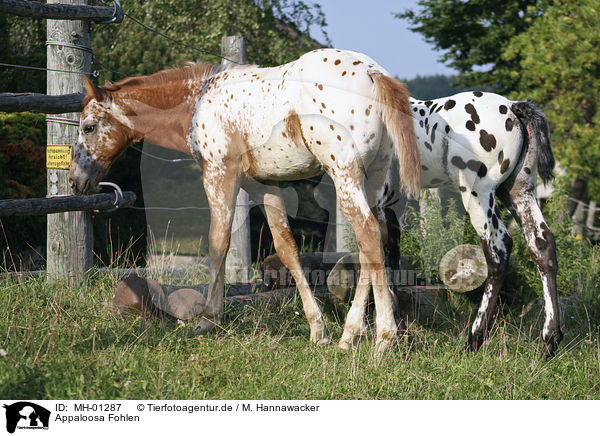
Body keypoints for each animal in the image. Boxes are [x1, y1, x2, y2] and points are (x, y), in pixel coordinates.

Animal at [68, 48, 420, 354]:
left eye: (89, 127)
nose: (75, 181)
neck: (198, 101)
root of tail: (373, 73)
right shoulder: (263, 185)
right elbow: (286, 248)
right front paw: (317, 329)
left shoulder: (220, 173)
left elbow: (218, 243)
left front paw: (208, 319)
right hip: (371, 179)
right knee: (373, 241)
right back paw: (349, 335)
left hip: (344, 174)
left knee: (368, 235)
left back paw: (384, 338)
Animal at [380, 92, 564, 358]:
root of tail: (513, 107)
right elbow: (390, 258)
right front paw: (399, 333)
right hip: (518, 190)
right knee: (542, 243)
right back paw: (550, 340)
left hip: (479, 194)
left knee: (499, 250)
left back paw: (474, 338)